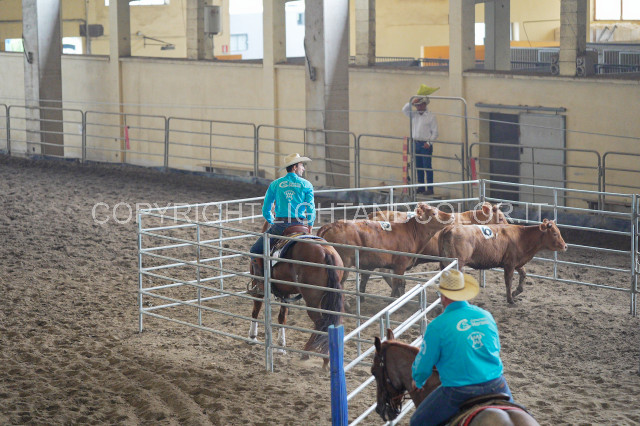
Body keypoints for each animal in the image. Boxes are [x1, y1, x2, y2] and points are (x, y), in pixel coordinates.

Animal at [248, 221, 344, 369]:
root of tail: (325, 252)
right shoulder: (285, 293)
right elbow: (282, 317)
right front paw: (281, 346)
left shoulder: (258, 285)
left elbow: (256, 310)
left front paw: (252, 337)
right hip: (327, 298)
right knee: (327, 322)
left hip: (312, 300)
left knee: (320, 323)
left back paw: (317, 356)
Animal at [316, 203, 454, 298]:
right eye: (434, 213)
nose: (452, 216)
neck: (411, 232)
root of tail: (331, 225)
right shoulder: (400, 265)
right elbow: (397, 283)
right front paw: (393, 299)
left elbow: (399, 283)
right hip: (343, 263)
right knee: (339, 283)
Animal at [438, 219, 568, 304]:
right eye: (555, 233)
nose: (565, 246)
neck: (522, 237)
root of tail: (449, 228)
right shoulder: (509, 264)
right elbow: (508, 281)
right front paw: (510, 300)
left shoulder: (517, 262)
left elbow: (523, 274)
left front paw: (516, 293)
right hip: (458, 264)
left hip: (444, 263)